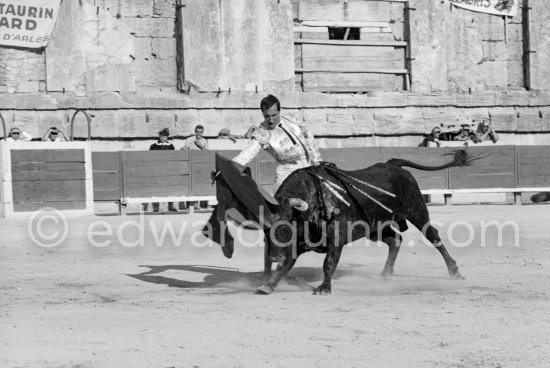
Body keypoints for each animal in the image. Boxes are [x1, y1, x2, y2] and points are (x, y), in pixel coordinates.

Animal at [205, 150, 472, 294]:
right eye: (265, 231)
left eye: (287, 226)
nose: (272, 256)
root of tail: (391, 164)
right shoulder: (297, 246)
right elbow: (286, 265)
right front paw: (267, 285)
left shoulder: (336, 238)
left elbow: (329, 263)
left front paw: (324, 288)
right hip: (375, 226)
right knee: (394, 240)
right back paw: (385, 274)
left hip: (417, 211)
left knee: (434, 237)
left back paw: (455, 271)